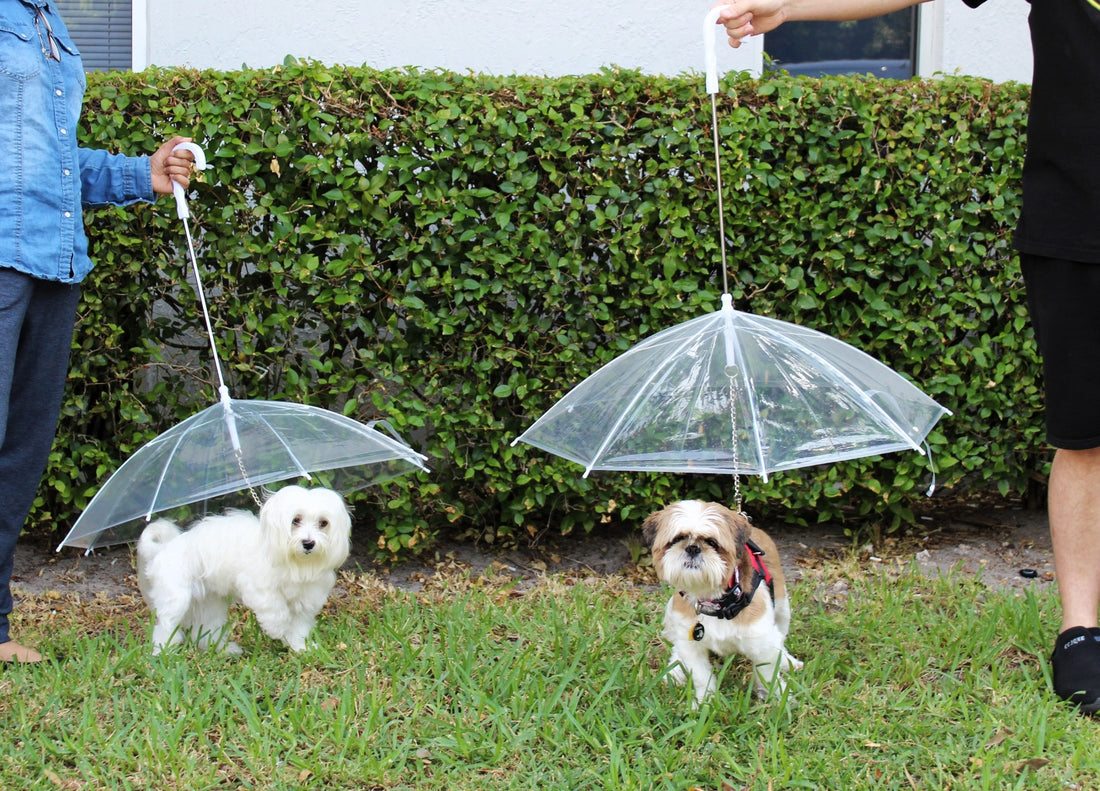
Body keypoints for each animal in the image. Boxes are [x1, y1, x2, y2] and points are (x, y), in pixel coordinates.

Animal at [134, 486, 347, 660]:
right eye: (296, 520)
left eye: (323, 523)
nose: (308, 543)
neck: (295, 562)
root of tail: (163, 549)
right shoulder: (259, 588)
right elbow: (276, 610)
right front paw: (277, 629)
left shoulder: (306, 600)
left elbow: (298, 628)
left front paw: (300, 648)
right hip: (176, 599)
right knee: (165, 627)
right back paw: (162, 652)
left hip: (209, 604)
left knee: (207, 629)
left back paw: (223, 650)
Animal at [642, 501, 805, 704]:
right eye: (678, 538)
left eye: (712, 543)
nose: (693, 548)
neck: (715, 601)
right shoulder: (690, 643)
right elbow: (701, 676)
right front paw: (705, 702)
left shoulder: (761, 641)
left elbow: (767, 675)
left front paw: (777, 698)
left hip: (782, 608)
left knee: (781, 635)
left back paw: (787, 660)